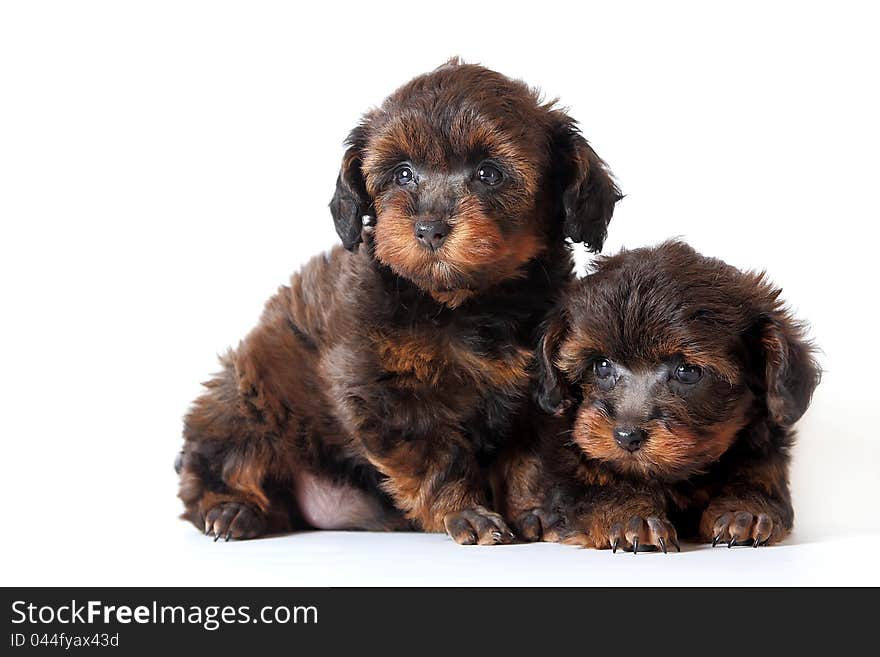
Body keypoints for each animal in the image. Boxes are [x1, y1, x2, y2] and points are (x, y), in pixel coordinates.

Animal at [175, 60, 624, 544]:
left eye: (489, 173)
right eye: (403, 173)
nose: (429, 228)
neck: (464, 303)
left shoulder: (538, 391)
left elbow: (531, 458)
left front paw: (535, 510)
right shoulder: (387, 390)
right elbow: (436, 457)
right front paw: (463, 512)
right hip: (244, 396)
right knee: (223, 458)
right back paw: (231, 509)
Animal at [524, 240, 820, 548]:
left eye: (687, 372)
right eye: (601, 366)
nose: (627, 436)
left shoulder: (764, 444)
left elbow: (760, 476)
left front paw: (746, 511)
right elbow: (593, 488)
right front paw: (630, 517)